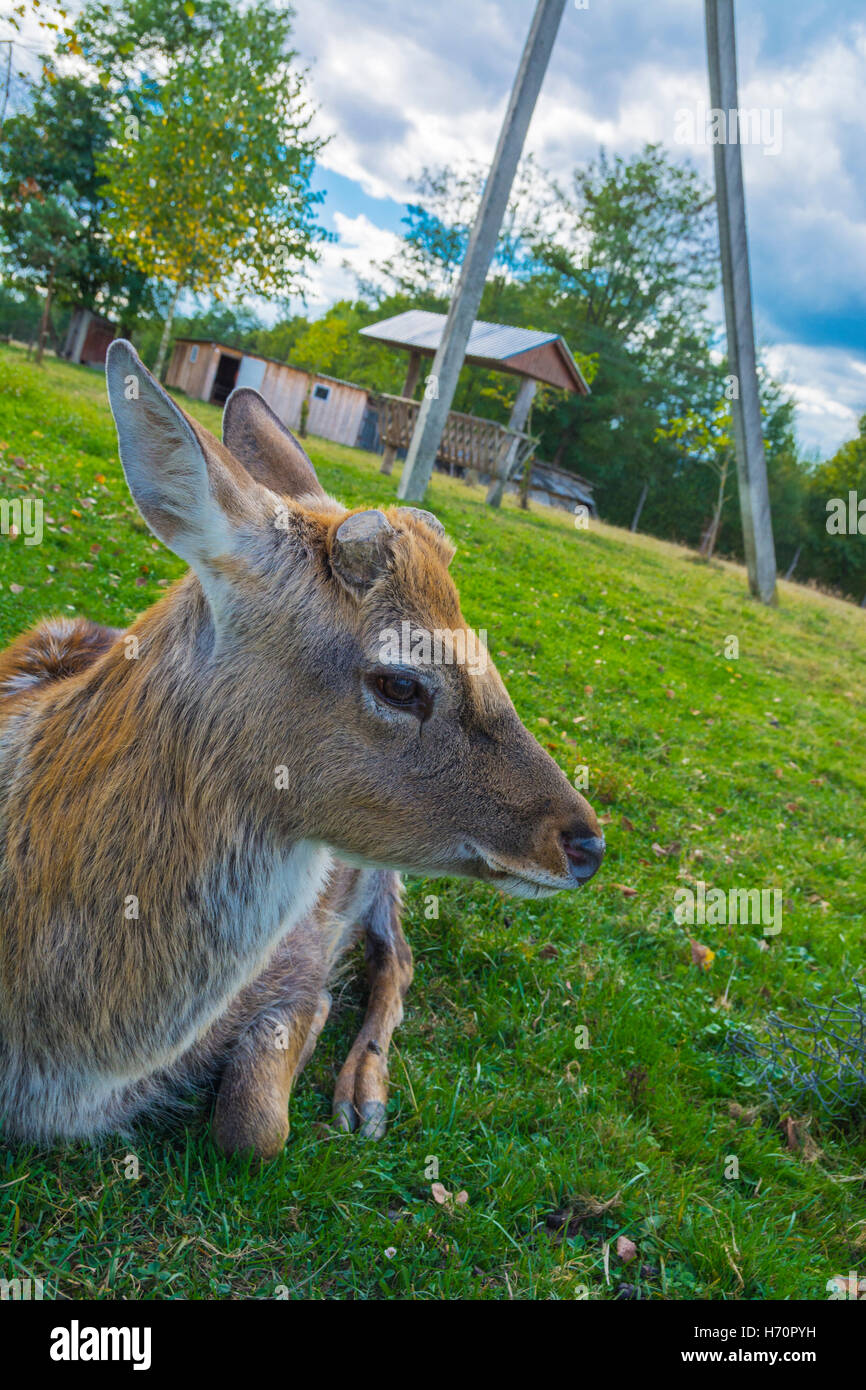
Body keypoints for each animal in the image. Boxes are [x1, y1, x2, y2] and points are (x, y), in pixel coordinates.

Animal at [0, 341, 606, 1156]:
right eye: (400, 682)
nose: (586, 843)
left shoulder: (300, 954)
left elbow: (254, 1125)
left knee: (399, 958)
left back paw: (364, 1097)